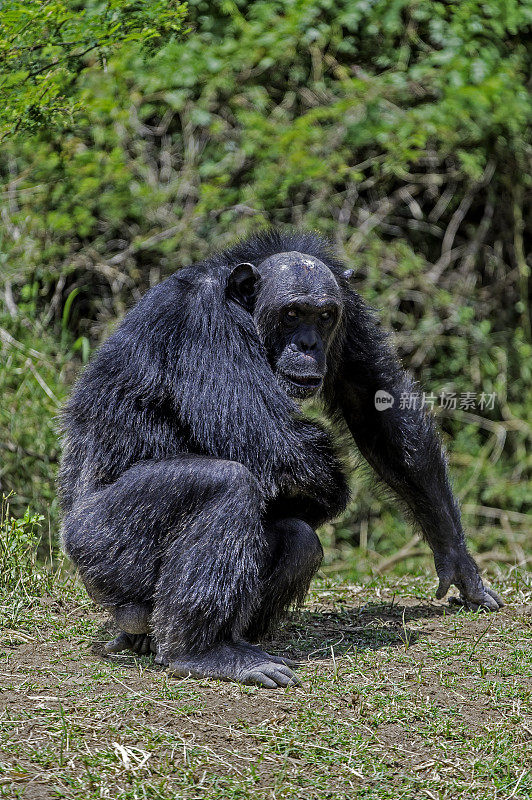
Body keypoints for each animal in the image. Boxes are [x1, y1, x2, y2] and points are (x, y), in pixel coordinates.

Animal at [58, 228, 502, 684]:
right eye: (291, 313)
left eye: (323, 316)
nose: (308, 343)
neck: (243, 305)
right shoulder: (206, 323)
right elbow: (275, 445)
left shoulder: (351, 316)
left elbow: (374, 402)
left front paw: (458, 562)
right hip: (102, 546)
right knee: (226, 484)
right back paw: (202, 653)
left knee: (300, 540)